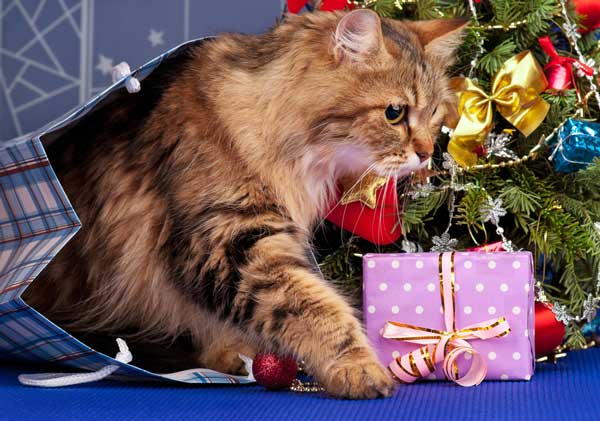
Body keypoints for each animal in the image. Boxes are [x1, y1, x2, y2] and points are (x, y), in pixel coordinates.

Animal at [24, 9, 464, 398]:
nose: (426, 154)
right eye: (394, 113)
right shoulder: (230, 240)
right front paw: (356, 366)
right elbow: (314, 307)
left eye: (434, 112)